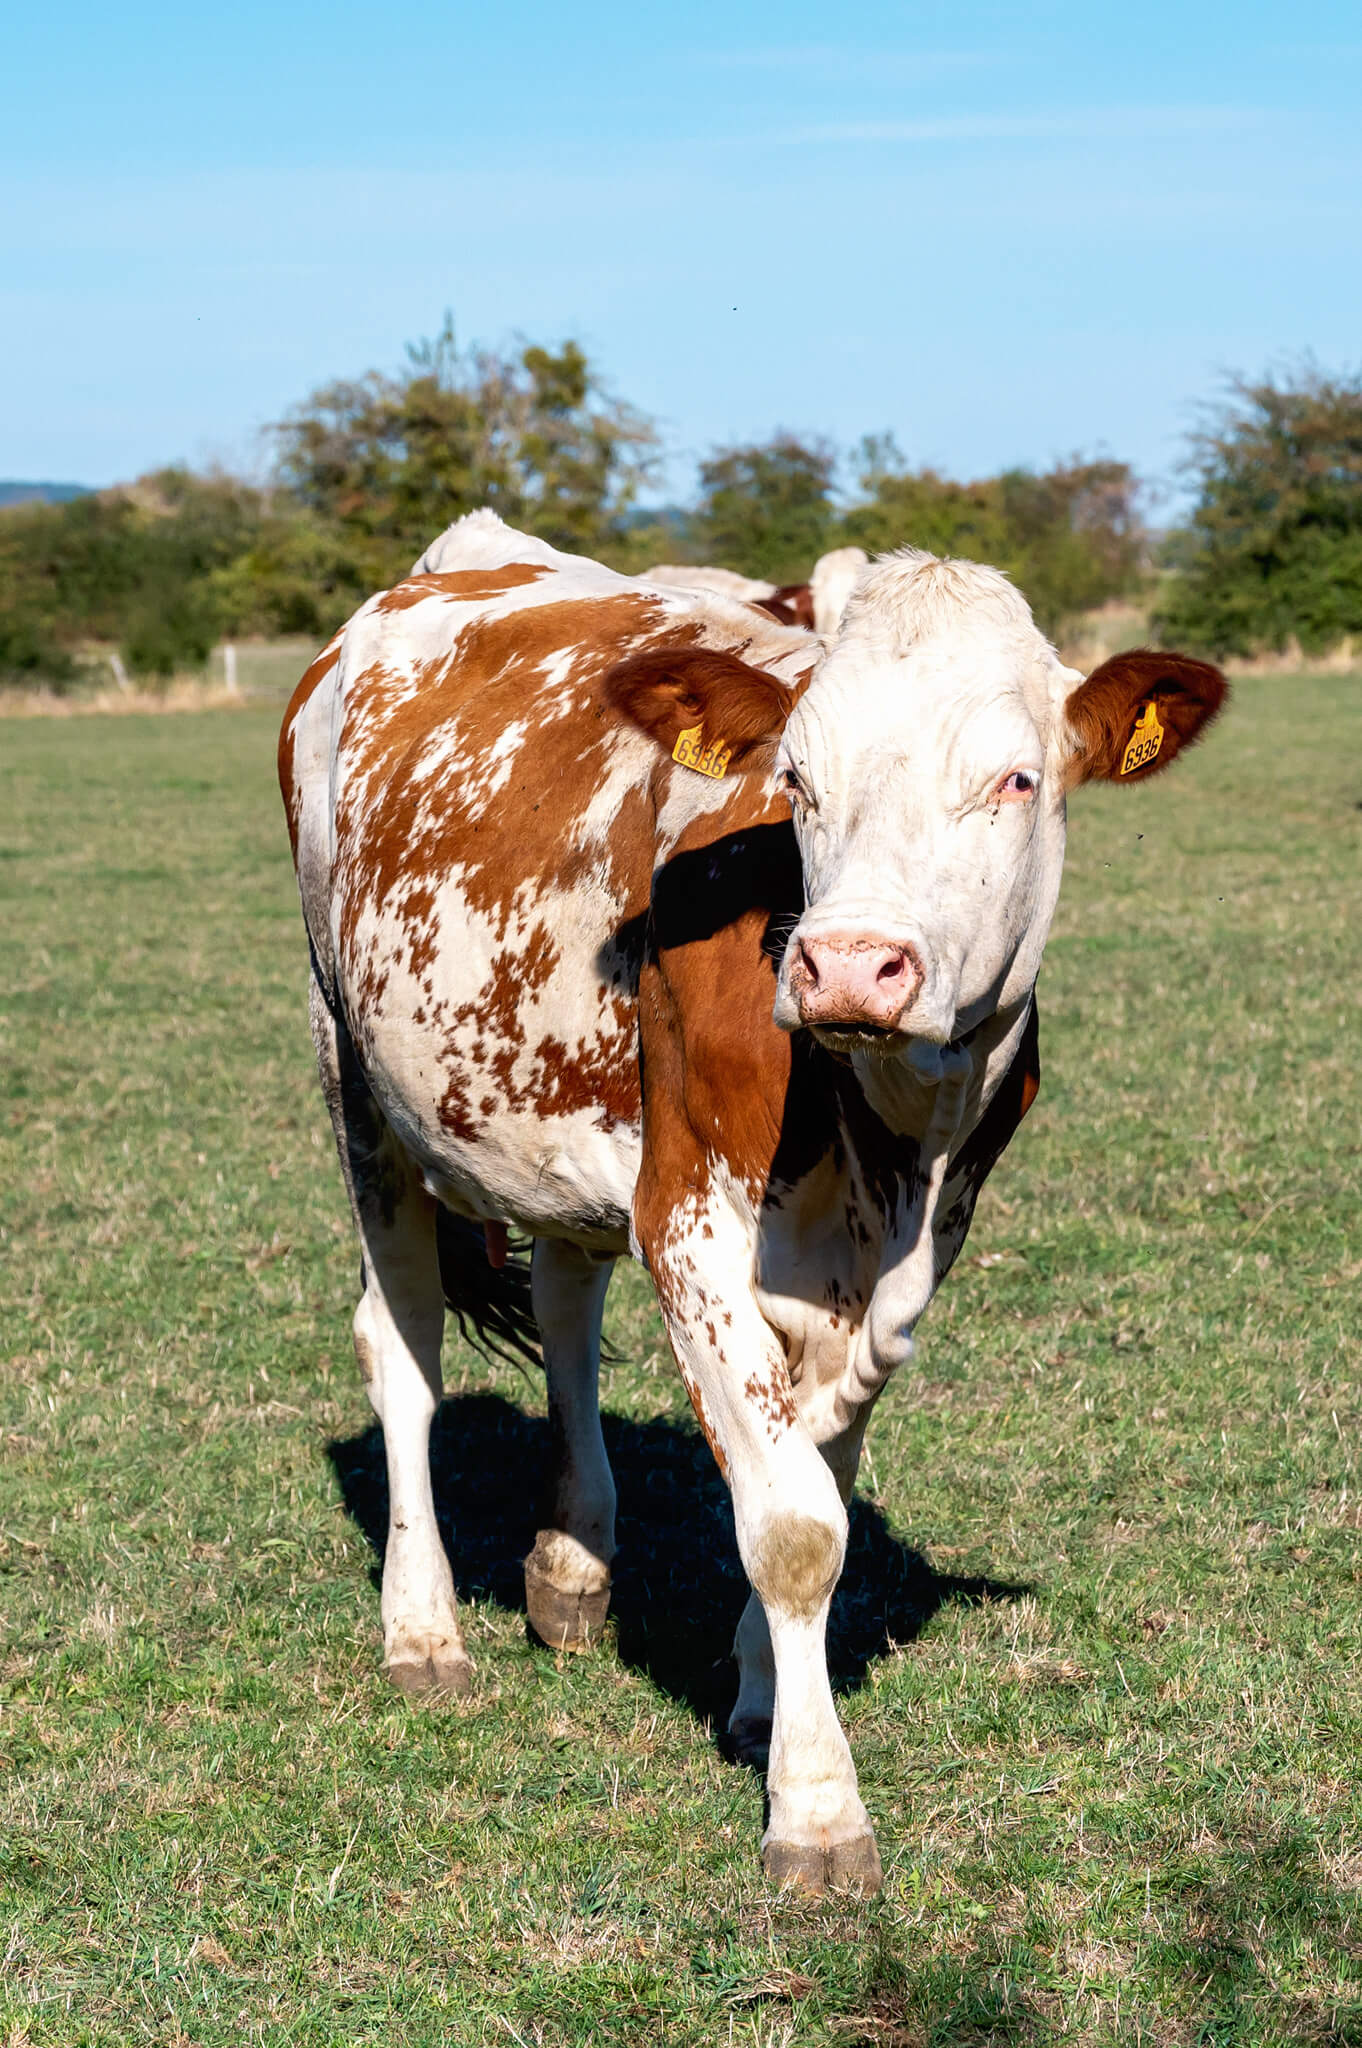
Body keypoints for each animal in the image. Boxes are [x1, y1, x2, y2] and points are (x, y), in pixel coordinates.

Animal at [279, 508, 1225, 1895]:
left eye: (1014, 779)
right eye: (801, 780)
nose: (849, 963)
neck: (888, 1115)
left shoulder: (910, 1254)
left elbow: (814, 1458)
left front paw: (766, 1694)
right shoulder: (692, 1223)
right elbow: (792, 1522)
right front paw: (817, 1814)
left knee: (566, 1301)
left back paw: (571, 1562)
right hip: (355, 1071)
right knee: (400, 1350)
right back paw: (423, 1627)